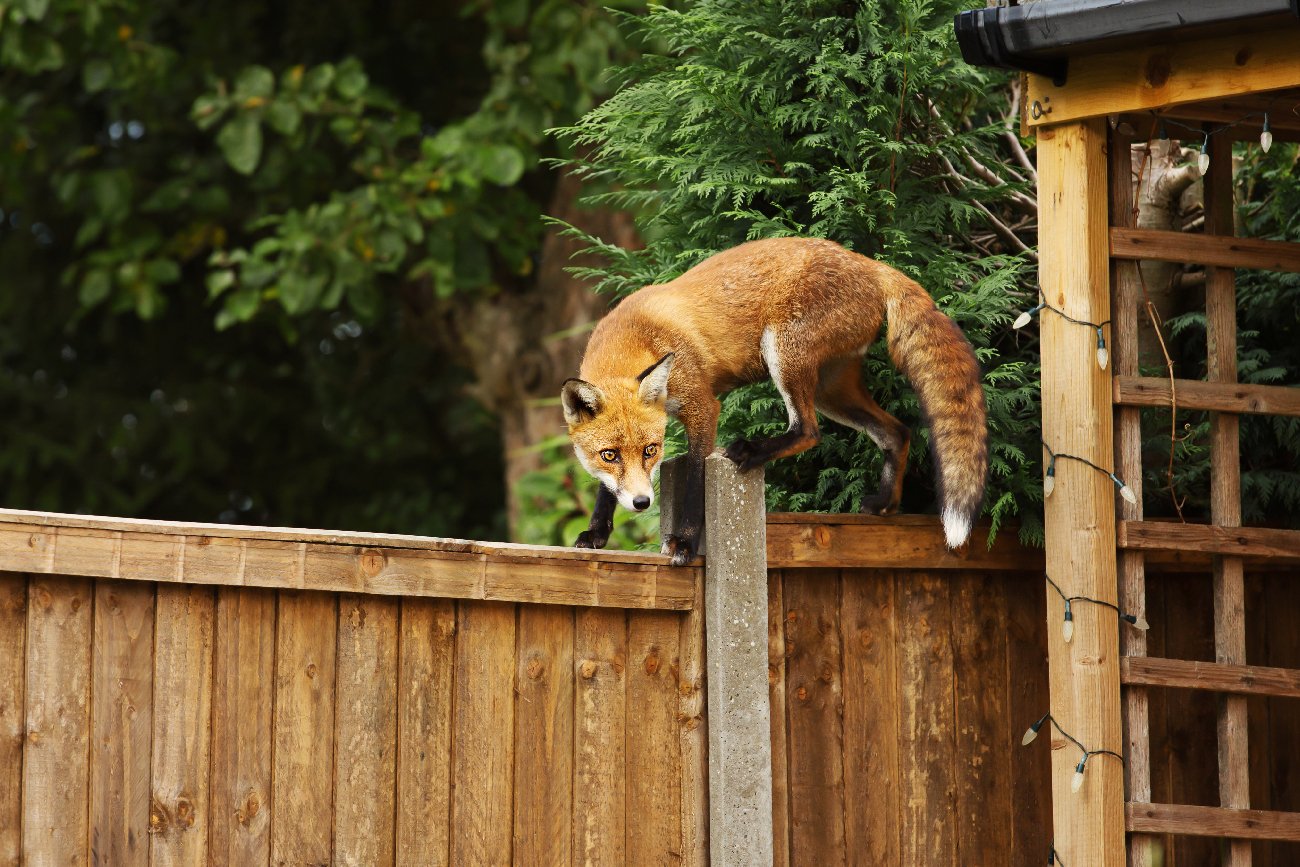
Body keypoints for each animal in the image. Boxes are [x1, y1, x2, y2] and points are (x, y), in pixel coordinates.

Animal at [559, 235, 982, 569]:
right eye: (609, 455)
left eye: (651, 450)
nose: (643, 502)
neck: (637, 337)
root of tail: (870, 263)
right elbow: (606, 489)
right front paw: (596, 532)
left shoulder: (703, 407)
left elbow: (695, 478)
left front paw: (685, 542)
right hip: (832, 390)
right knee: (896, 432)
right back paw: (885, 504)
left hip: (784, 355)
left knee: (808, 431)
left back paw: (752, 450)